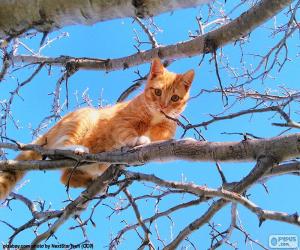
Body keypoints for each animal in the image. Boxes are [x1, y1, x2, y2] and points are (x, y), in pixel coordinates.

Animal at [0, 58, 195, 199]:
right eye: (158, 92)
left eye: (175, 98)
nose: (163, 106)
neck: (154, 118)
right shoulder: (121, 121)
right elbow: (128, 132)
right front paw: (137, 139)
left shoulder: (164, 132)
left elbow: (161, 138)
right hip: (83, 120)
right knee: (60, 147)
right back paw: (76, 150)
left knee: (65, 177)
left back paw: (94, 182)